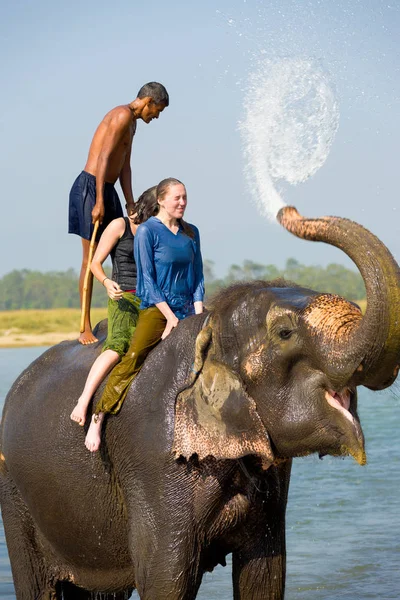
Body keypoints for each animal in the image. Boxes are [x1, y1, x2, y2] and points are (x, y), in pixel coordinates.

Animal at [0, 206, 400, 600]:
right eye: (285, 332)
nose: (288, 209)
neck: (208, 328)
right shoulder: (153, 461)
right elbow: (166, 580)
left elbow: (265, 574)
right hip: (15, 496)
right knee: (36, 585)